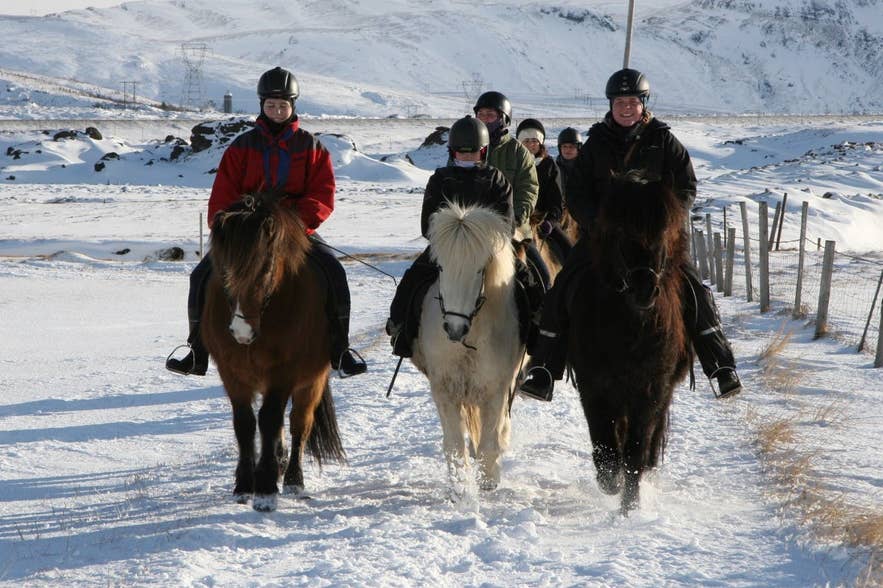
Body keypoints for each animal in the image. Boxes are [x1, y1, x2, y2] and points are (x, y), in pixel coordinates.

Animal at [201, 191, 345, 512]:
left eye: (265, 269)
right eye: (222, 269)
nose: (241, 331)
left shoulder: (284, 372)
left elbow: (269, 420)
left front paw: (265, 489)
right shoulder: (231, 372)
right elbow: (244, 423)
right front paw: (244, 485)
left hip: (312, 382)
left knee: (298, 424)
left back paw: (292, 480)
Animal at [410, 202, 523, 496]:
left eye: (479, 270)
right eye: (440, 267)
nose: (453, 328)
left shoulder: (496, 388)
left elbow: (490, 439)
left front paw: (488, 481)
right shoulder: (444, 389)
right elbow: (453, 444)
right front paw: (460, 486)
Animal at [565, 171, 692, 514]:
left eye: (663, 230)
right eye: (620, 230)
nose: (644, 289)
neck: (630, 330)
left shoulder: (650, 391)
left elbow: (635, 452)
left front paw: (629, 506)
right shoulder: (594, 387)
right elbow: (606, 447)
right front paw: (611, 484)